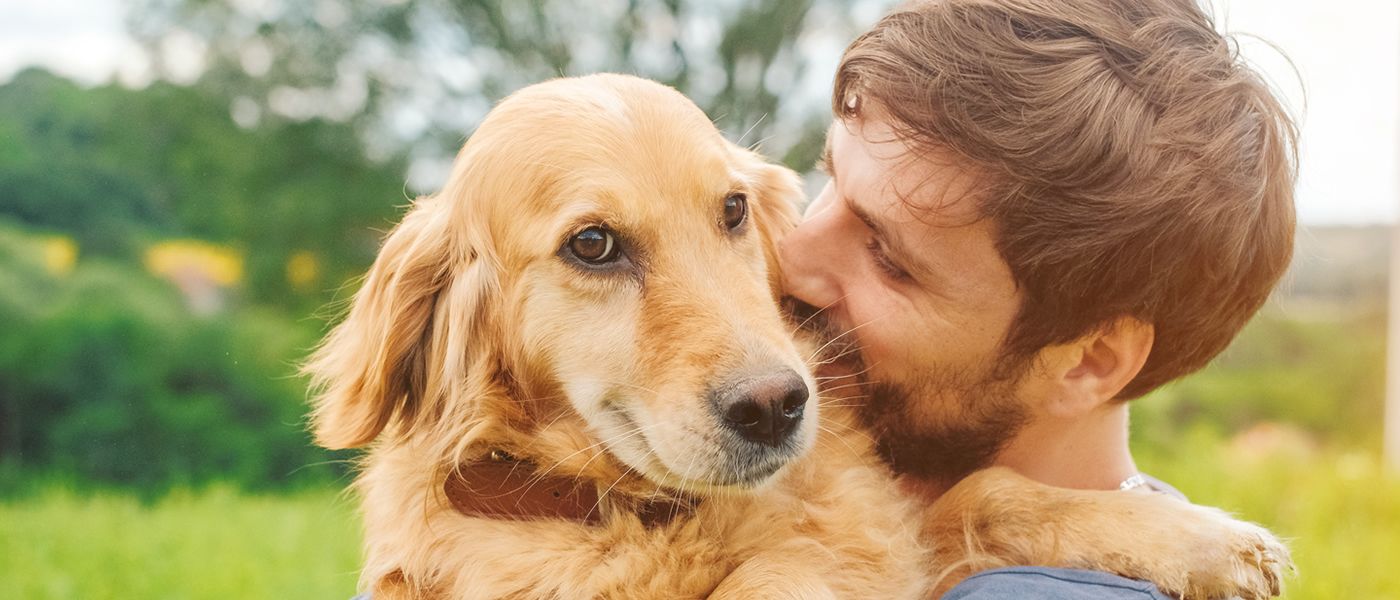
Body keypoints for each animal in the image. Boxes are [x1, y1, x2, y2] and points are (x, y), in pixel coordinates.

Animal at [306, 74, 1288, 598]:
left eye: (734, 209)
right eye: (592, 244)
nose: (778, 406)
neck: (649, 510)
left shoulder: (891, 542)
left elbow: (988, 492)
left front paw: (1204, 540)